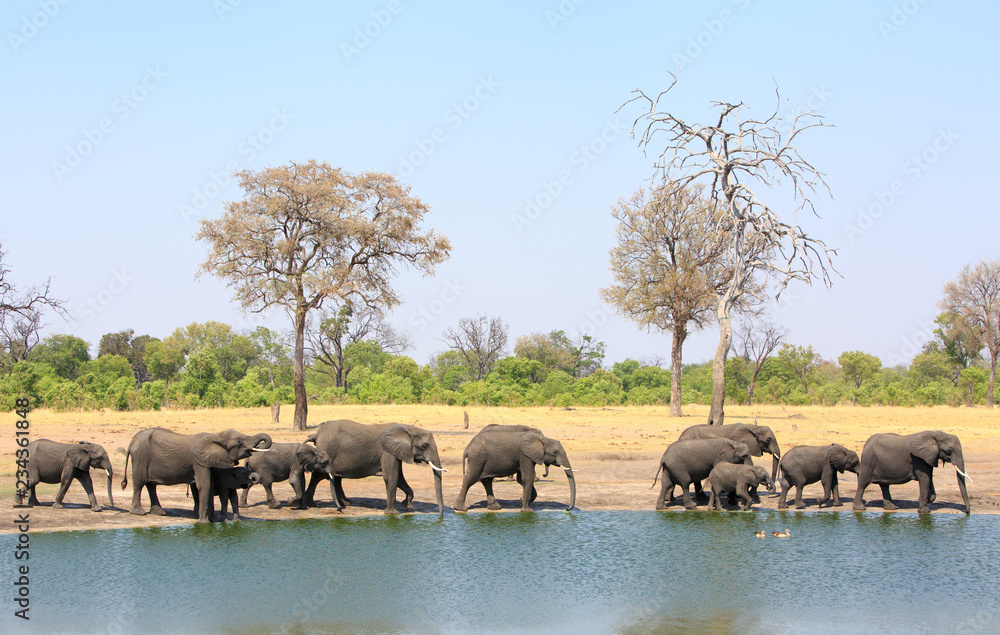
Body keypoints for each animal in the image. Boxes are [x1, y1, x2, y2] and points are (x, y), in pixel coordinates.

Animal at [122, 427, 272, 523]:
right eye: (239, 441)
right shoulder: (198, 462)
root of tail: (132, 441)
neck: (215, 436)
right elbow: (205, 485)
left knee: (151, 485)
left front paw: (212, 520)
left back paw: (159, 512)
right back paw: (138, 512)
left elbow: (209, 485)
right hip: (140, 456)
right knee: (139, 483)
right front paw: (204, 523)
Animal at [303, 419, 445, 516]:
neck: (407, 429)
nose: (440, 516)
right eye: (424, 446)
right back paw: (313, 504)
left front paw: (408, 506)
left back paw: (345, 504)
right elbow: (391, 477)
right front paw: (392, 514)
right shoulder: (387, 451)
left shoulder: (395, 452)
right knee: (318, 476)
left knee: (336, 478)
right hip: (326, 451)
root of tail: (316, 434)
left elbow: (399, 477)